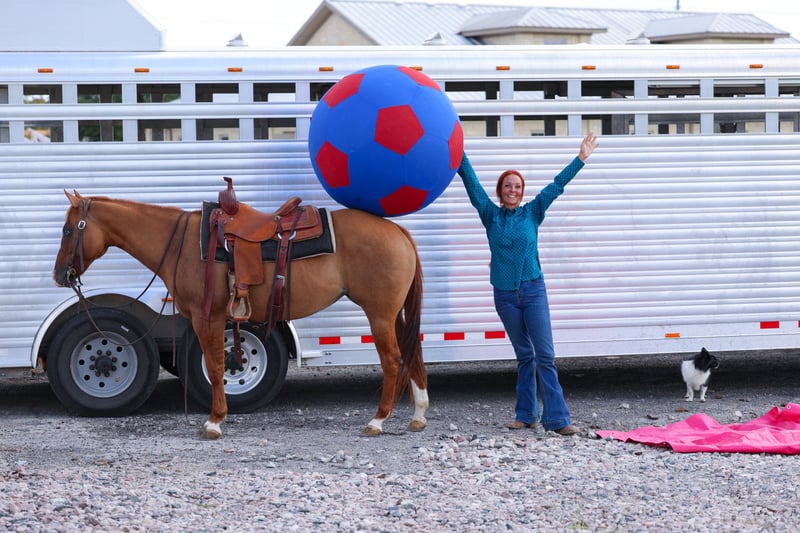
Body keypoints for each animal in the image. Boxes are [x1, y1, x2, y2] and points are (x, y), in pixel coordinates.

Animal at [52, 190, 428, 440]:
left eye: (68, 230)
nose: (59, 275)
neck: (183, 246)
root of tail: (399, 232)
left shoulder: (208, 317)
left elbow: (217, 365)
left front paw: (214, 421)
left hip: (379, 314)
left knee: (392, 359)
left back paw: (378, 420)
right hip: (394, 314)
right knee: (412, 354)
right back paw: (418, 415)